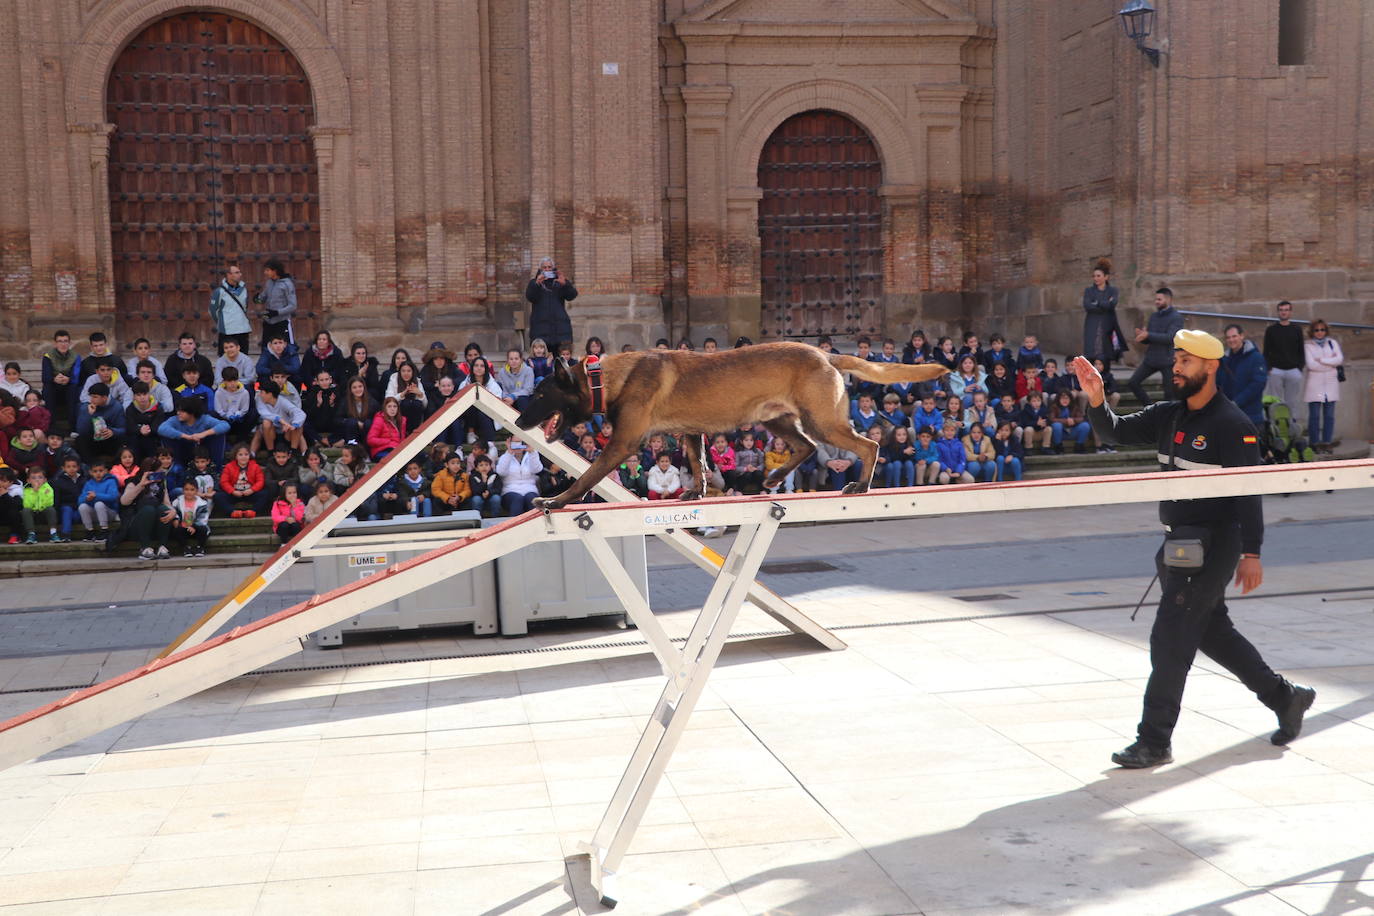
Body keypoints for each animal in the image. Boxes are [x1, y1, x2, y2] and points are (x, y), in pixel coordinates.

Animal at [511, 341, 950, 508]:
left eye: (540, 395)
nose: (517, 418)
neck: (606, 378)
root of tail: (827, 354)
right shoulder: (690, 433)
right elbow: (699, 463)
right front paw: (697, 492)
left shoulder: (621, 444)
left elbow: (586, 477)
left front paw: (556, 501)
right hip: (779, 422)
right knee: (807, 447)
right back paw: (773, 480)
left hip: (822, 421)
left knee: (868, 446)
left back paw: (861, 484)